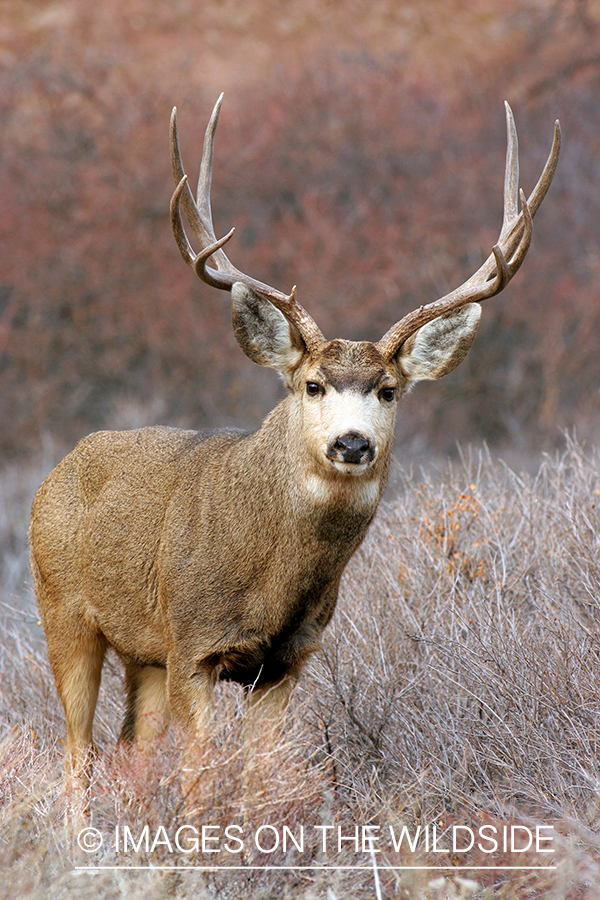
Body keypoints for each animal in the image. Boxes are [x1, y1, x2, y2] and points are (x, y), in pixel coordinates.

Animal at [28, 95, 560, 800]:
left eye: (388, 390)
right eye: (313, 384)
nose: (352, 441)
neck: (270, 578)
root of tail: (56, 472)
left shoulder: (284, 662)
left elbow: (258, 779)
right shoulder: (191, 642)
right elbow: (200, 779)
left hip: (142, 653)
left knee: (130, 748)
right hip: (64, 613)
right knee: (76, 756)